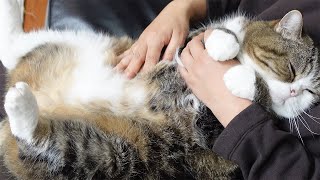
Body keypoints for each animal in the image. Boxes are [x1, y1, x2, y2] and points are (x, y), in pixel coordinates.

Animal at [0, 0, 318, 179]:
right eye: (291, 69)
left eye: (310, 94)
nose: (294, 92)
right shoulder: (188, 42)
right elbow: (215, 34)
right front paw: (223, 45)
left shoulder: (212, 134)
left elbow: (257, 100)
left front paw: (240, 80)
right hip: (83, 42)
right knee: (12, 47)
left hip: (109, 155)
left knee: (36, 141)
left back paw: (20, 104)